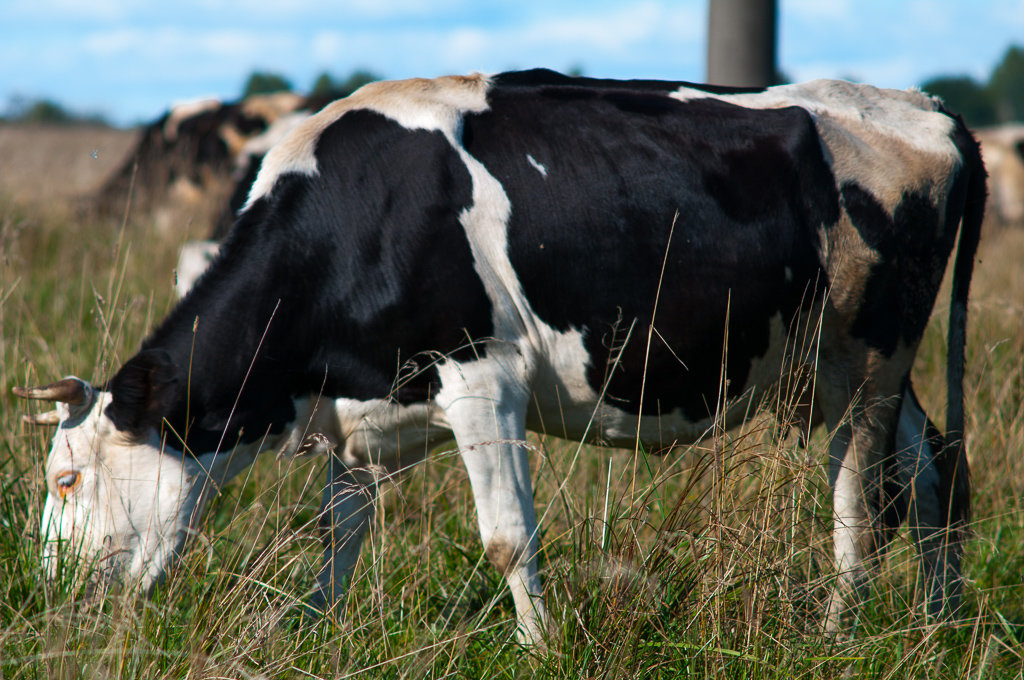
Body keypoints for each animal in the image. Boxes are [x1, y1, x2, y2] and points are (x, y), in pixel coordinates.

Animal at [16, 70, 983, 647]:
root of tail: (921, 106)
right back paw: (939, 626)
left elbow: (508, 538)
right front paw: (317, 634)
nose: (48, 598)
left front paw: (541, 648)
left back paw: (842, 630)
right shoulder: (360, 416)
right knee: (933, 470)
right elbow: (337, 538)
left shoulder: (482, 378)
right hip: (868, 368)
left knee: (860, 500)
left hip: (867, 357)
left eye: (65, 479)